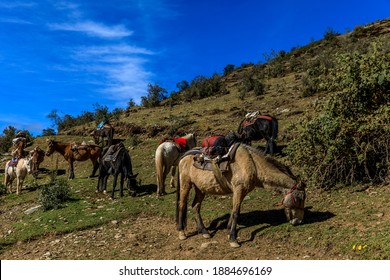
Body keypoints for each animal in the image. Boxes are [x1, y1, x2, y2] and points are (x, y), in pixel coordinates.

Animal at [177, 144, 308, 247]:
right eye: (300, 198)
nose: (298, 221)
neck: (253, 165)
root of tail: (184, 157)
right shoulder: (239, 190)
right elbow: (236, 213)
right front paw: (233, 239)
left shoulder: (241, 192)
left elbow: (234, 210)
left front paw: (229, 231)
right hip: (186, 185)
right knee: (182, 205)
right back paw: (181, 232)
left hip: (200, 189)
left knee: (195, 206)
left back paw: (204, 231)